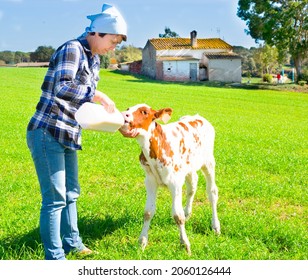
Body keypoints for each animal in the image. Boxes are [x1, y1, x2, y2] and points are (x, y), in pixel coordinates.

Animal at [121, 104, 221, 254]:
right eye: (128, 108)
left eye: (144, 112)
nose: (124, 114)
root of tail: (198, 117)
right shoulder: (150, 181)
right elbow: (148, 212)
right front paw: (142, 242)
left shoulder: (175, 182)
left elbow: (177, 216)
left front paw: (185, 244)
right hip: (189, 167)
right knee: (192, 186)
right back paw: (188, 213)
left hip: (208, 162)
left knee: (212, 192)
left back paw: (215, 226)